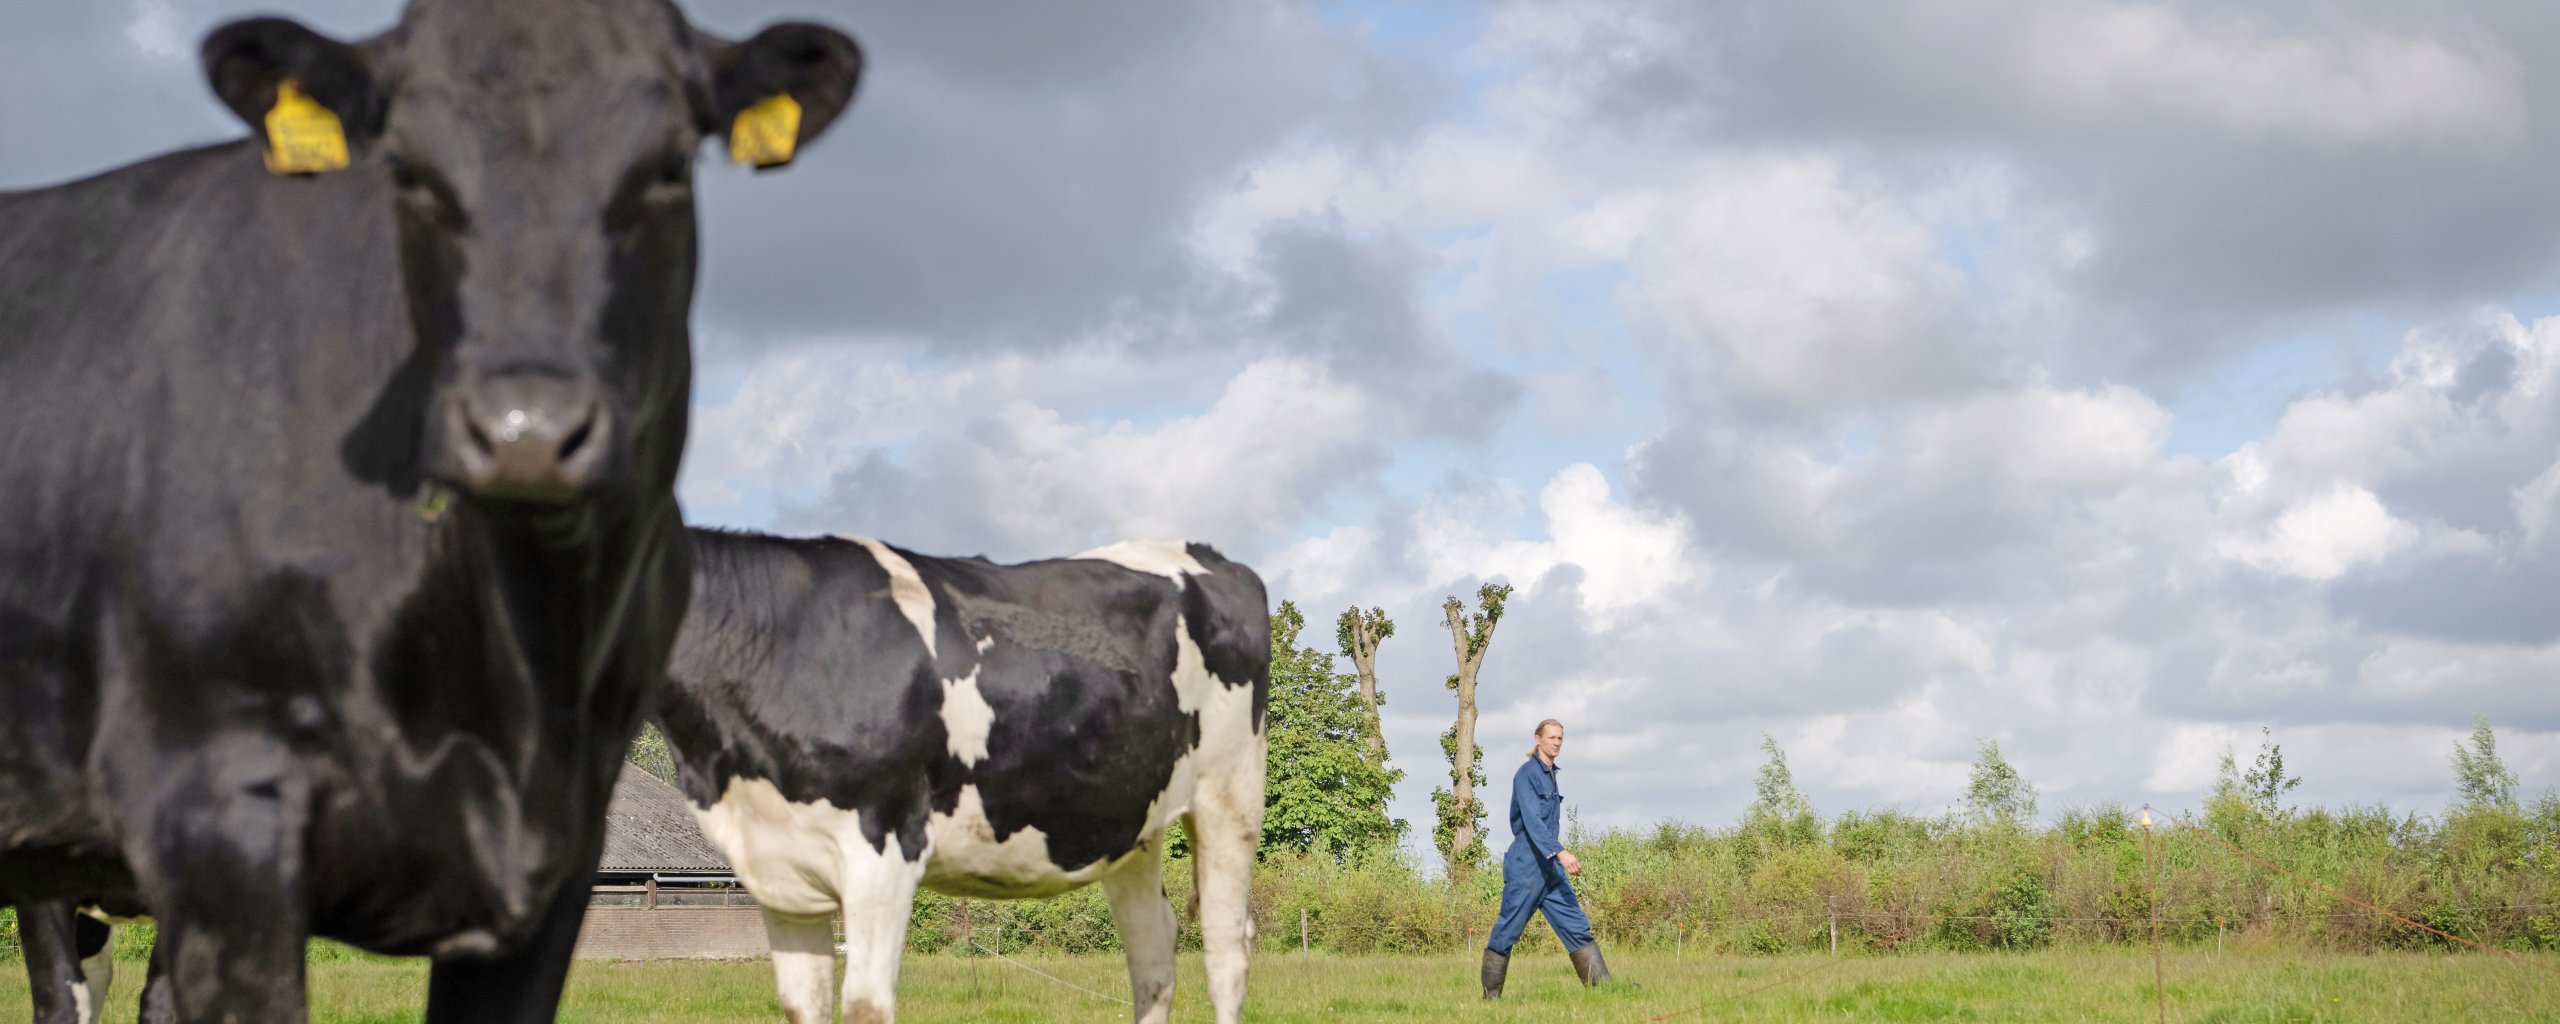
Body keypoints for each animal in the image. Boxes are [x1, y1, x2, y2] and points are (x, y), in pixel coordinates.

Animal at [655, 530, 1271, 1024]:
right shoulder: (779, 873)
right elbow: (802, 1007)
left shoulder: (883, 848)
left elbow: (865, 1006)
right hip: (1131, 826)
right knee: (1152, 952)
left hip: (1230, 794)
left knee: (1225, 950)